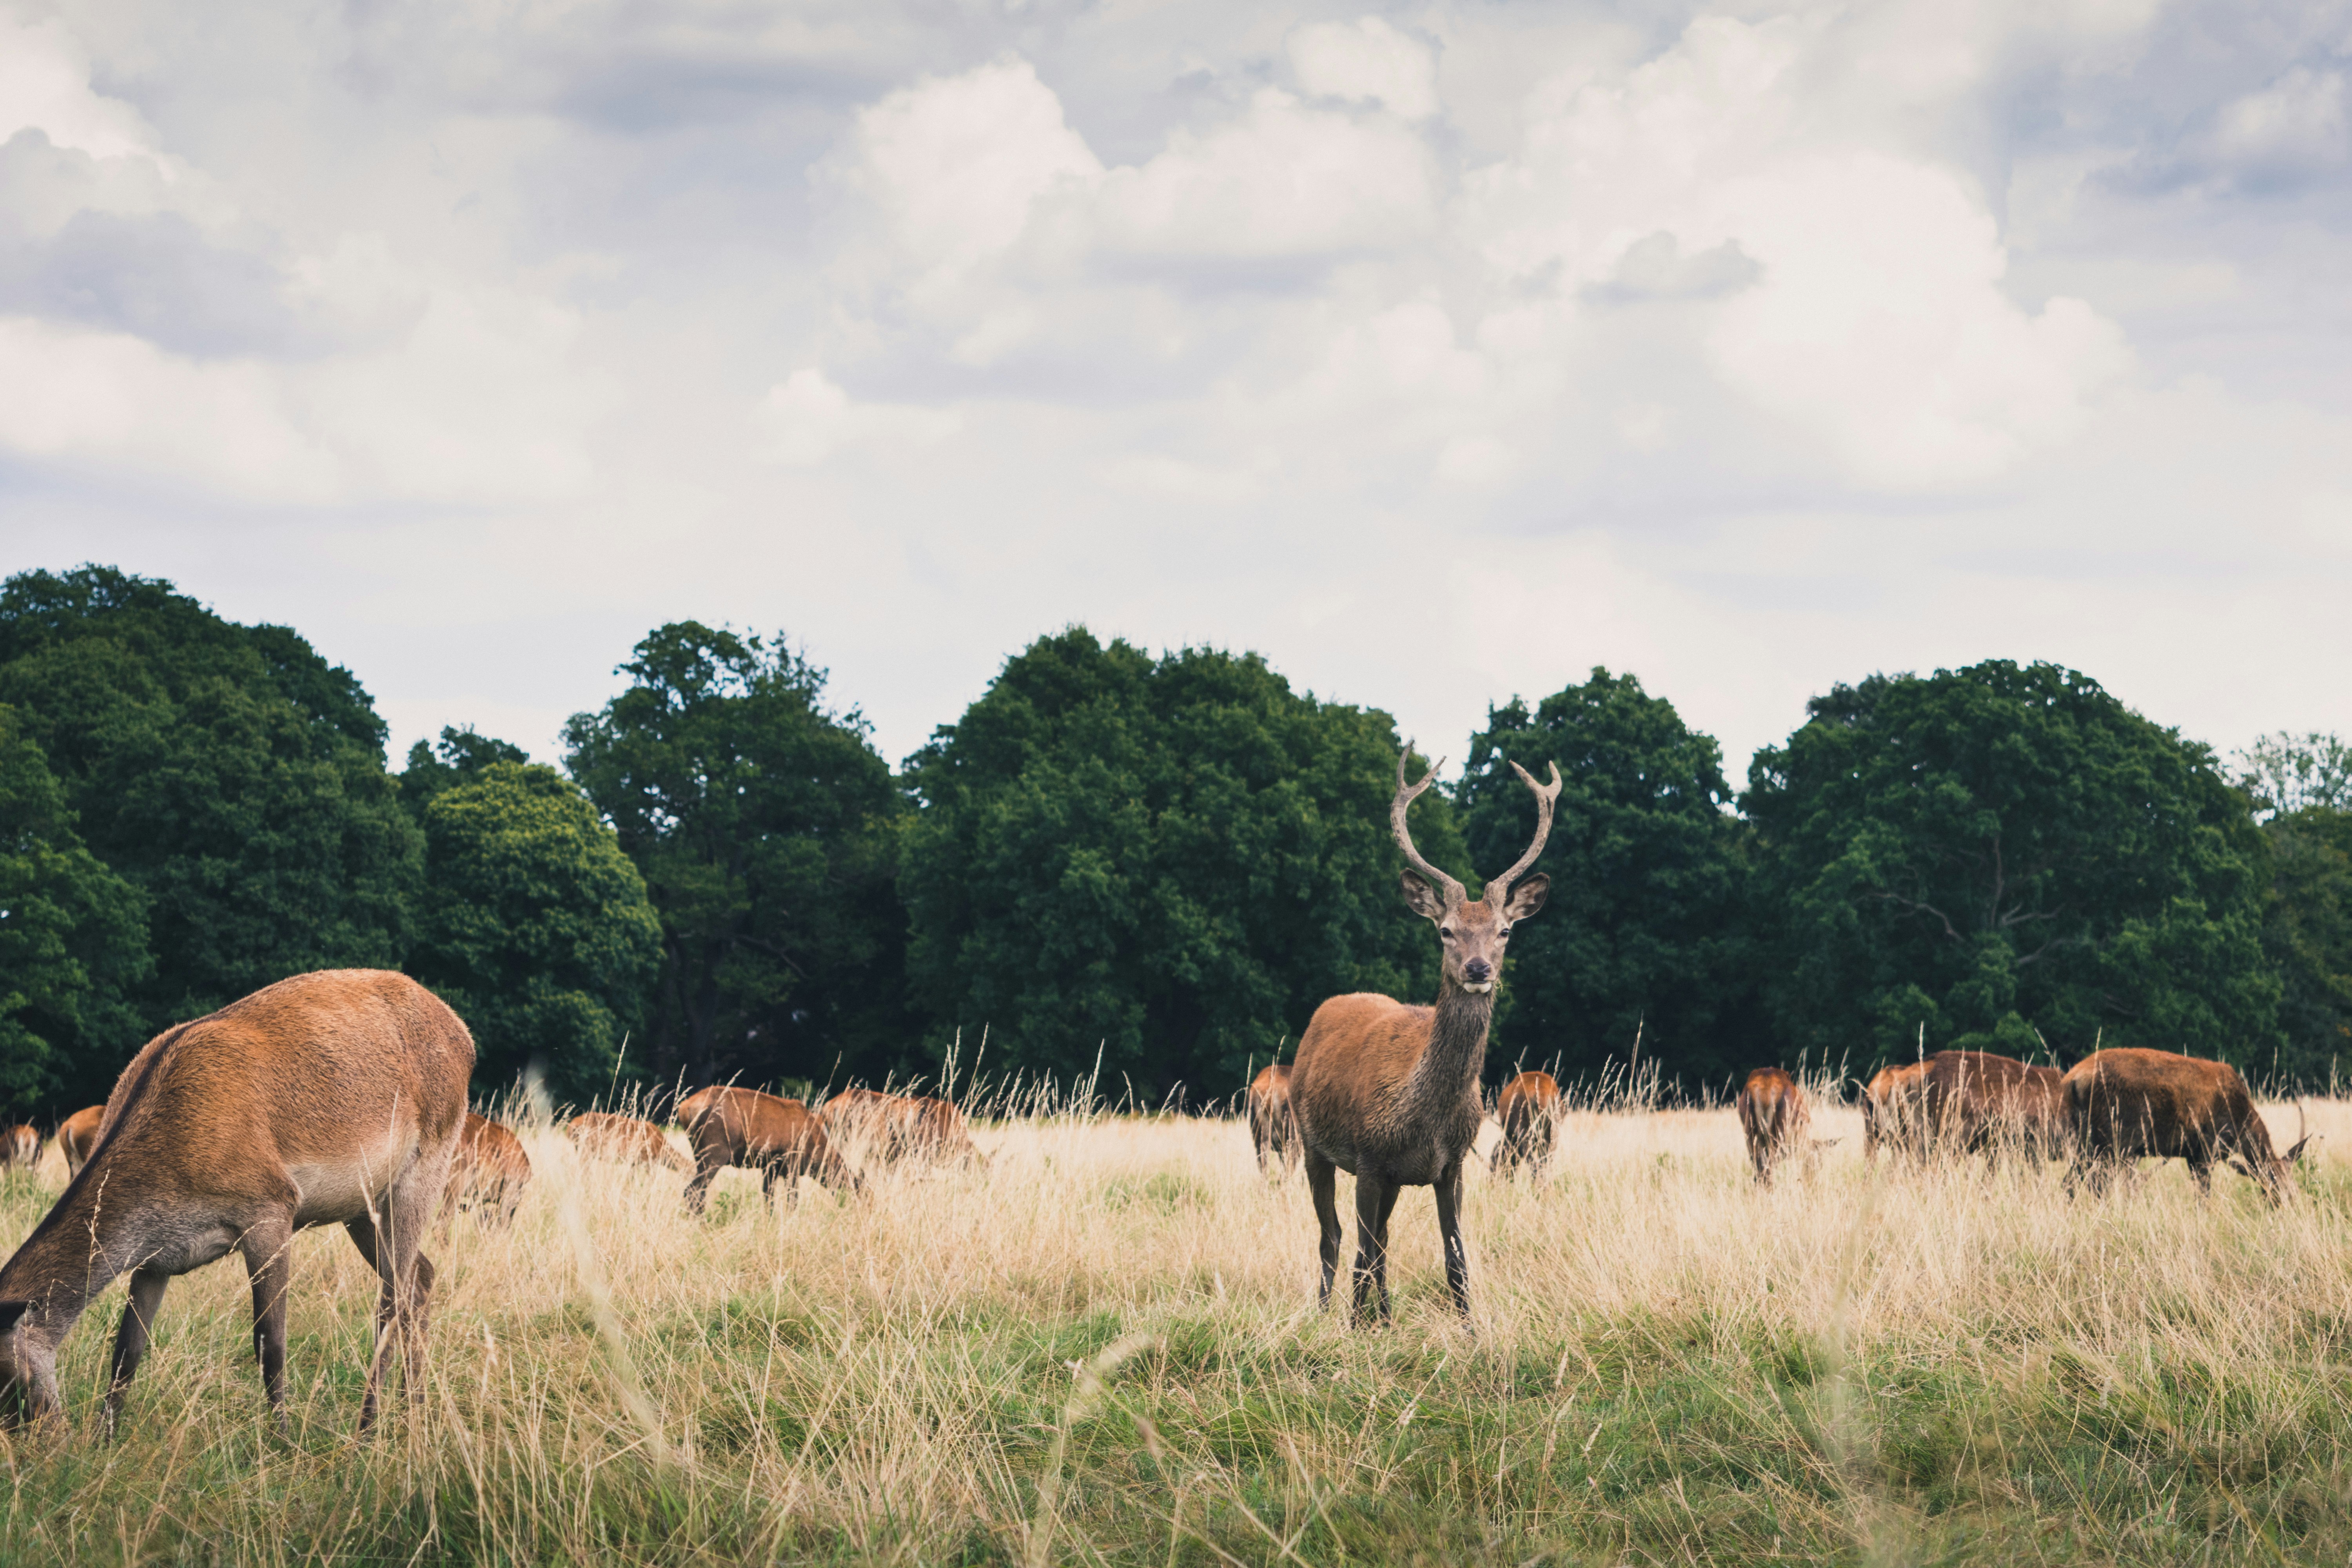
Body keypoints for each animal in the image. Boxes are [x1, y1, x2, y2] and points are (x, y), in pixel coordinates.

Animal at [0, 969, 471, 1433]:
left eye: (7, 1383)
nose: (42, 1438)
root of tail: (464, 1035)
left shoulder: (273, 1208)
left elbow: (270, 1344)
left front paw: (283, 1441)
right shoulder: (156, 1258)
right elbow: (127, 1351)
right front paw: (105, 1439)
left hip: (426, 1166)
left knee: (391, 1301)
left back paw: (368, 1430)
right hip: (361, 1205)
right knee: (420, 1277)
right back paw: (415, 1410)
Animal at [678, 1087, 857, 1212]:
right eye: (856, 1186)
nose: (855, 1207)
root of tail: (683, 1109)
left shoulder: (770, 1166)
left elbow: (768, 1199)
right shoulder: (792, 1162)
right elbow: (793, 1200)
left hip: (700, 1153)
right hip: (715, 1152)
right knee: (692, 1191)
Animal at [2063, 1047, 2311, 1203]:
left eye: (2294, 1187)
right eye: (2274, 1185)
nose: (2289, 1205)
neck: (2241, 1125)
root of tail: (2072, 1080)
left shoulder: (2191, 1154)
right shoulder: (2207, 1148)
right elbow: (2203, 1196)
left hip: (2085, 1143)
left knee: (2070, 1182)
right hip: (2113, 1139)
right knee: (2097, 1184)